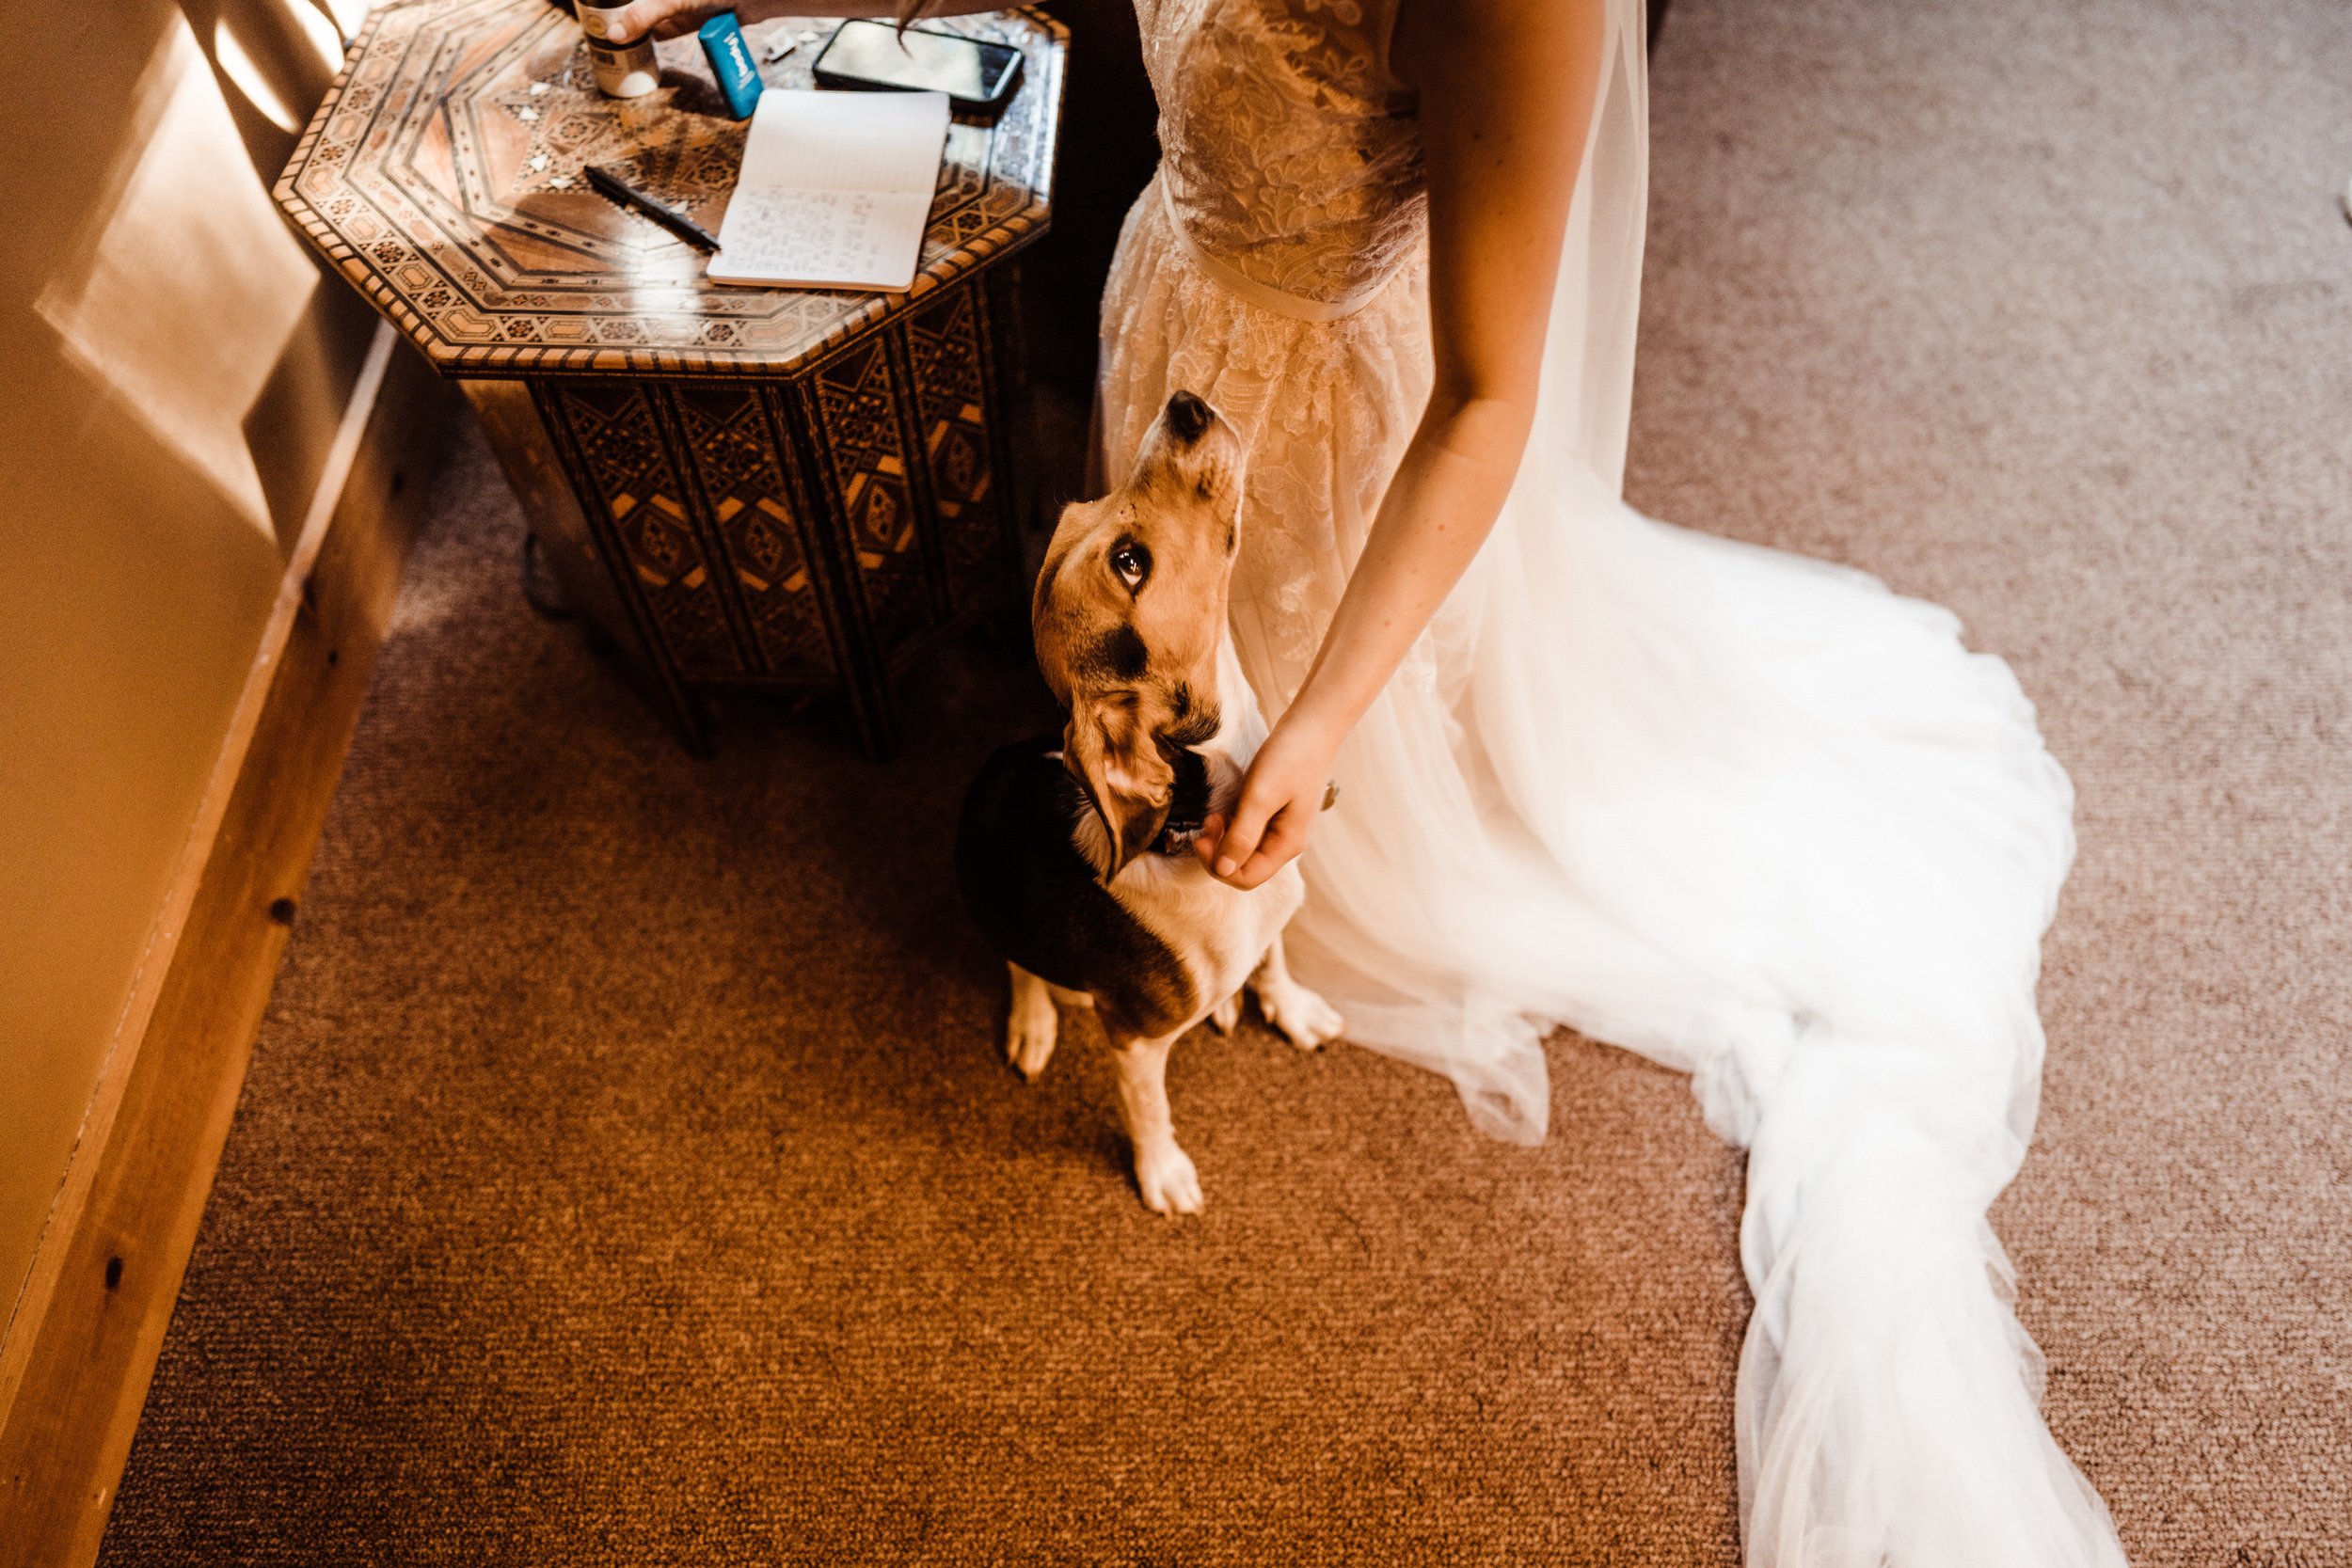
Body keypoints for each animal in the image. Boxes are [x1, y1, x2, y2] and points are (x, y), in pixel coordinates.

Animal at [960, 389, 1345, 1212]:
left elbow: (1274, 958)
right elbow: (1150, 1108)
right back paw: (1037, 1020)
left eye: (1086, 508)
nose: (1186, 404)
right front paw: (1162, 1171)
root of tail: (1000, 761)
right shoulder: (1135, 1037)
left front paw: (1289, 1004)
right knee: (1019, 966)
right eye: (1129, 562)